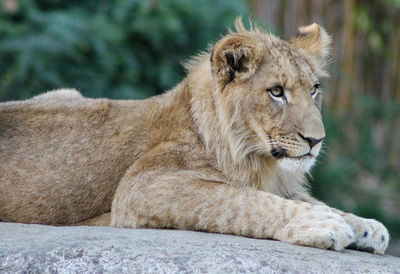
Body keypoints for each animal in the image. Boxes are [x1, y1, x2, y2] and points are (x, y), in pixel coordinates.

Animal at [0, 19, 390, 255]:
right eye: (277, 92)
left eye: (314, 90)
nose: (315, 141)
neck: (253, 156)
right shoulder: (143, 186)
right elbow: (240, 201)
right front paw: (320, 224)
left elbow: (312, 200)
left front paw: (367, 227)